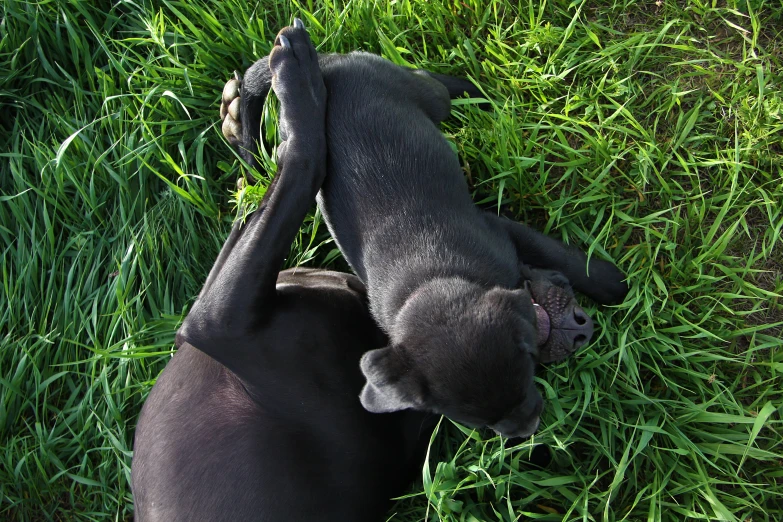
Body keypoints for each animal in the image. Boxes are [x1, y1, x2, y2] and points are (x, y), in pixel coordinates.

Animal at [132, 22, 432, 516]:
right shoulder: (213, 316)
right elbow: (259, 194)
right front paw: (244, 122)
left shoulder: (218, 324)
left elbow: (300, 161)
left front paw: (296, 83)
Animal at [227, 26, 632, 436]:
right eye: (480, 422)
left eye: (528, 369)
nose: (528, 428)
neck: (431, 281)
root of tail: (326, 63)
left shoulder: (497, 228)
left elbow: (560, 256)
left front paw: (613, 283)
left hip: (425, 96)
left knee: (430, 81)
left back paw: (474, 86)